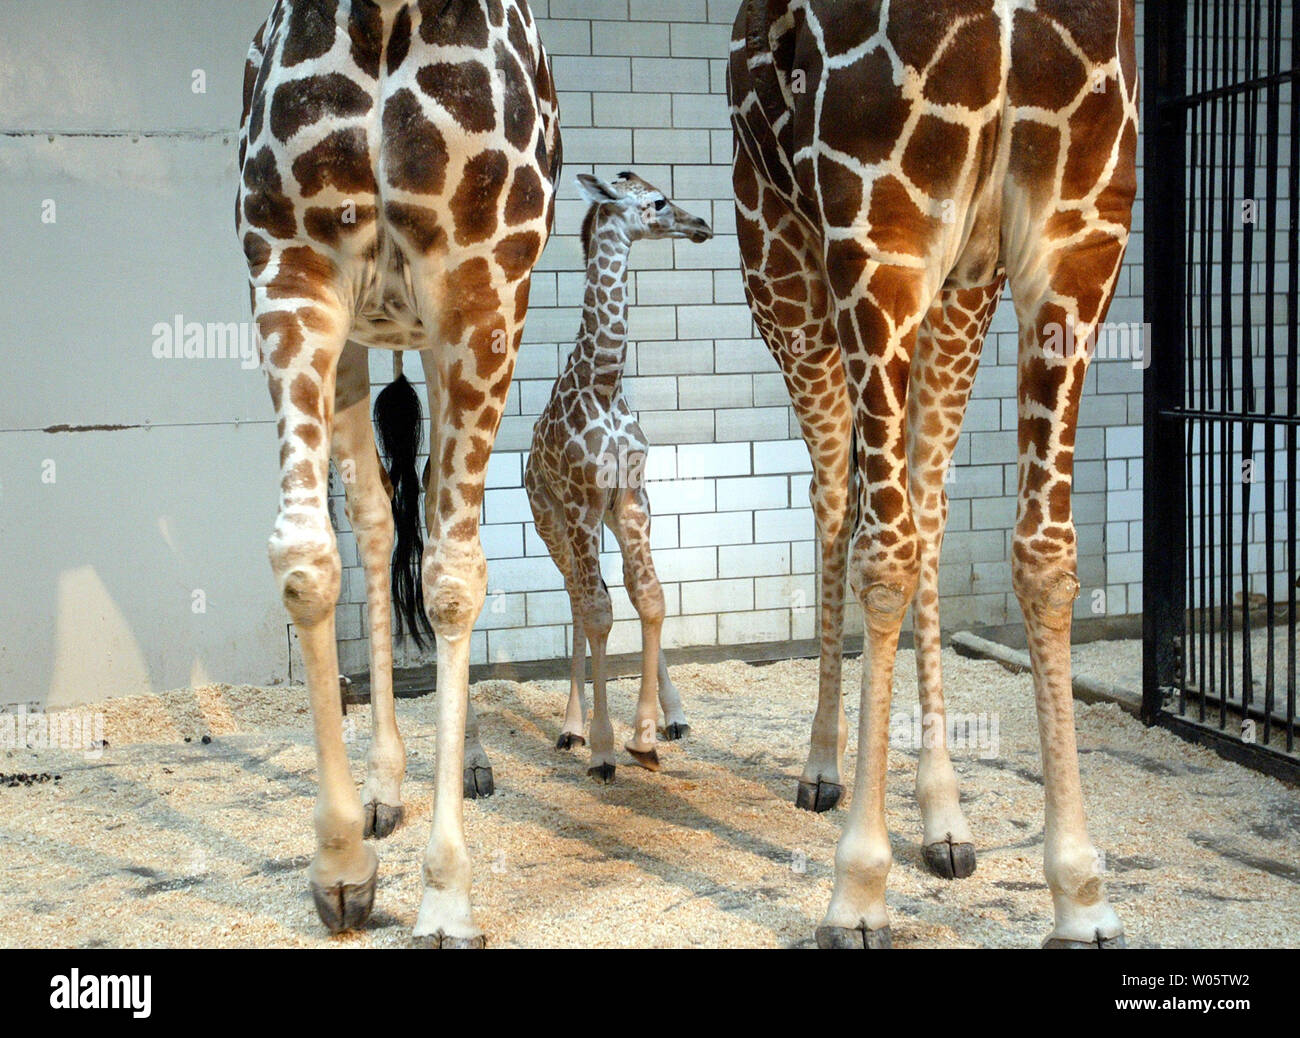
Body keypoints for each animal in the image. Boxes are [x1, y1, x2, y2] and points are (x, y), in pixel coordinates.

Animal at [239, 0, 559, 946]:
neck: (384, 16)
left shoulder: (482, 289)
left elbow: (455, 577)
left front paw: (448, 898)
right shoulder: (292, 269)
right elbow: (306, 558)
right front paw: (342, 863)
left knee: (444, 535)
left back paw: (467, 764)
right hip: (359, 333)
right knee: (379, 521)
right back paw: (384, 785)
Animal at [525, 174, 712, 785]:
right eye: (657, 202)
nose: (702, 225)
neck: (606, 381)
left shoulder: (631, 497)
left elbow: (648, 598)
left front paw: (649, 735)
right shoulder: (584, 503)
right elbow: (599, 612)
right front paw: (606, 748)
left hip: (600, 518)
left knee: (608, 590)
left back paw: (666, 718)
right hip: (552, 520)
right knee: (577, 597)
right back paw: (572, 729)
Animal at [733, 0, 1138, 952]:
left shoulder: (1081, 228)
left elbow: (1047, 558)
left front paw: (1081, 895)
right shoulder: (875, 221)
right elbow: (881, 558)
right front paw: (857, 891)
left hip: (961, 290)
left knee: (921, 503)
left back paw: (945, 817)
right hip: (782, 266)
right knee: (839, 502)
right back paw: (821, 770)